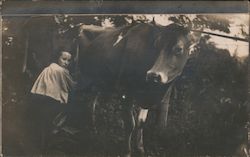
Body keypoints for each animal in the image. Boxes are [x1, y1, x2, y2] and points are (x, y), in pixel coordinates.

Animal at [77, 22, 200, 157]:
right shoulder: (125, 92)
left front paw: (141, 149)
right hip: (79, 76)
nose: (153, 75)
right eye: (157, 45)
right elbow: (130, 124)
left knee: (91, 103)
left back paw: (93, 129)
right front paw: (127, 152)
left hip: (97, 82)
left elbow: (141, 123)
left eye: (179, 49)